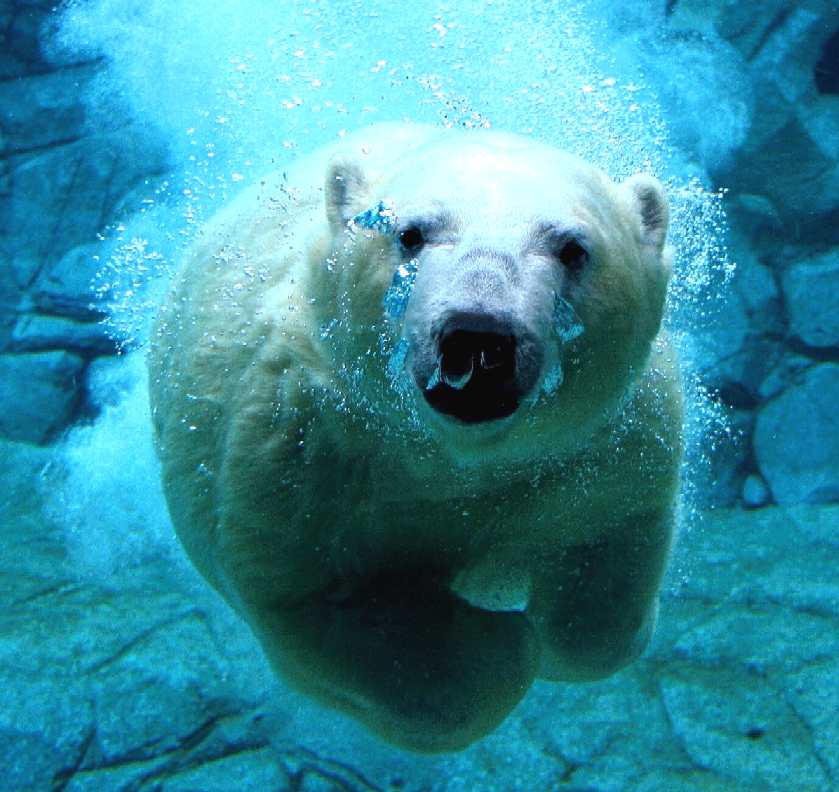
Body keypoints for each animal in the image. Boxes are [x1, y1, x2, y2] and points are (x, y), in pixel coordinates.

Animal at [149, 122, 684, 748]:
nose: (478, 336)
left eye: (573, 248)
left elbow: (607, 556)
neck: (449, 460)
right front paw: (502, 645)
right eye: (409, 234)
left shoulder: (603, 446)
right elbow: (329, 609)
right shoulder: (299, 450)